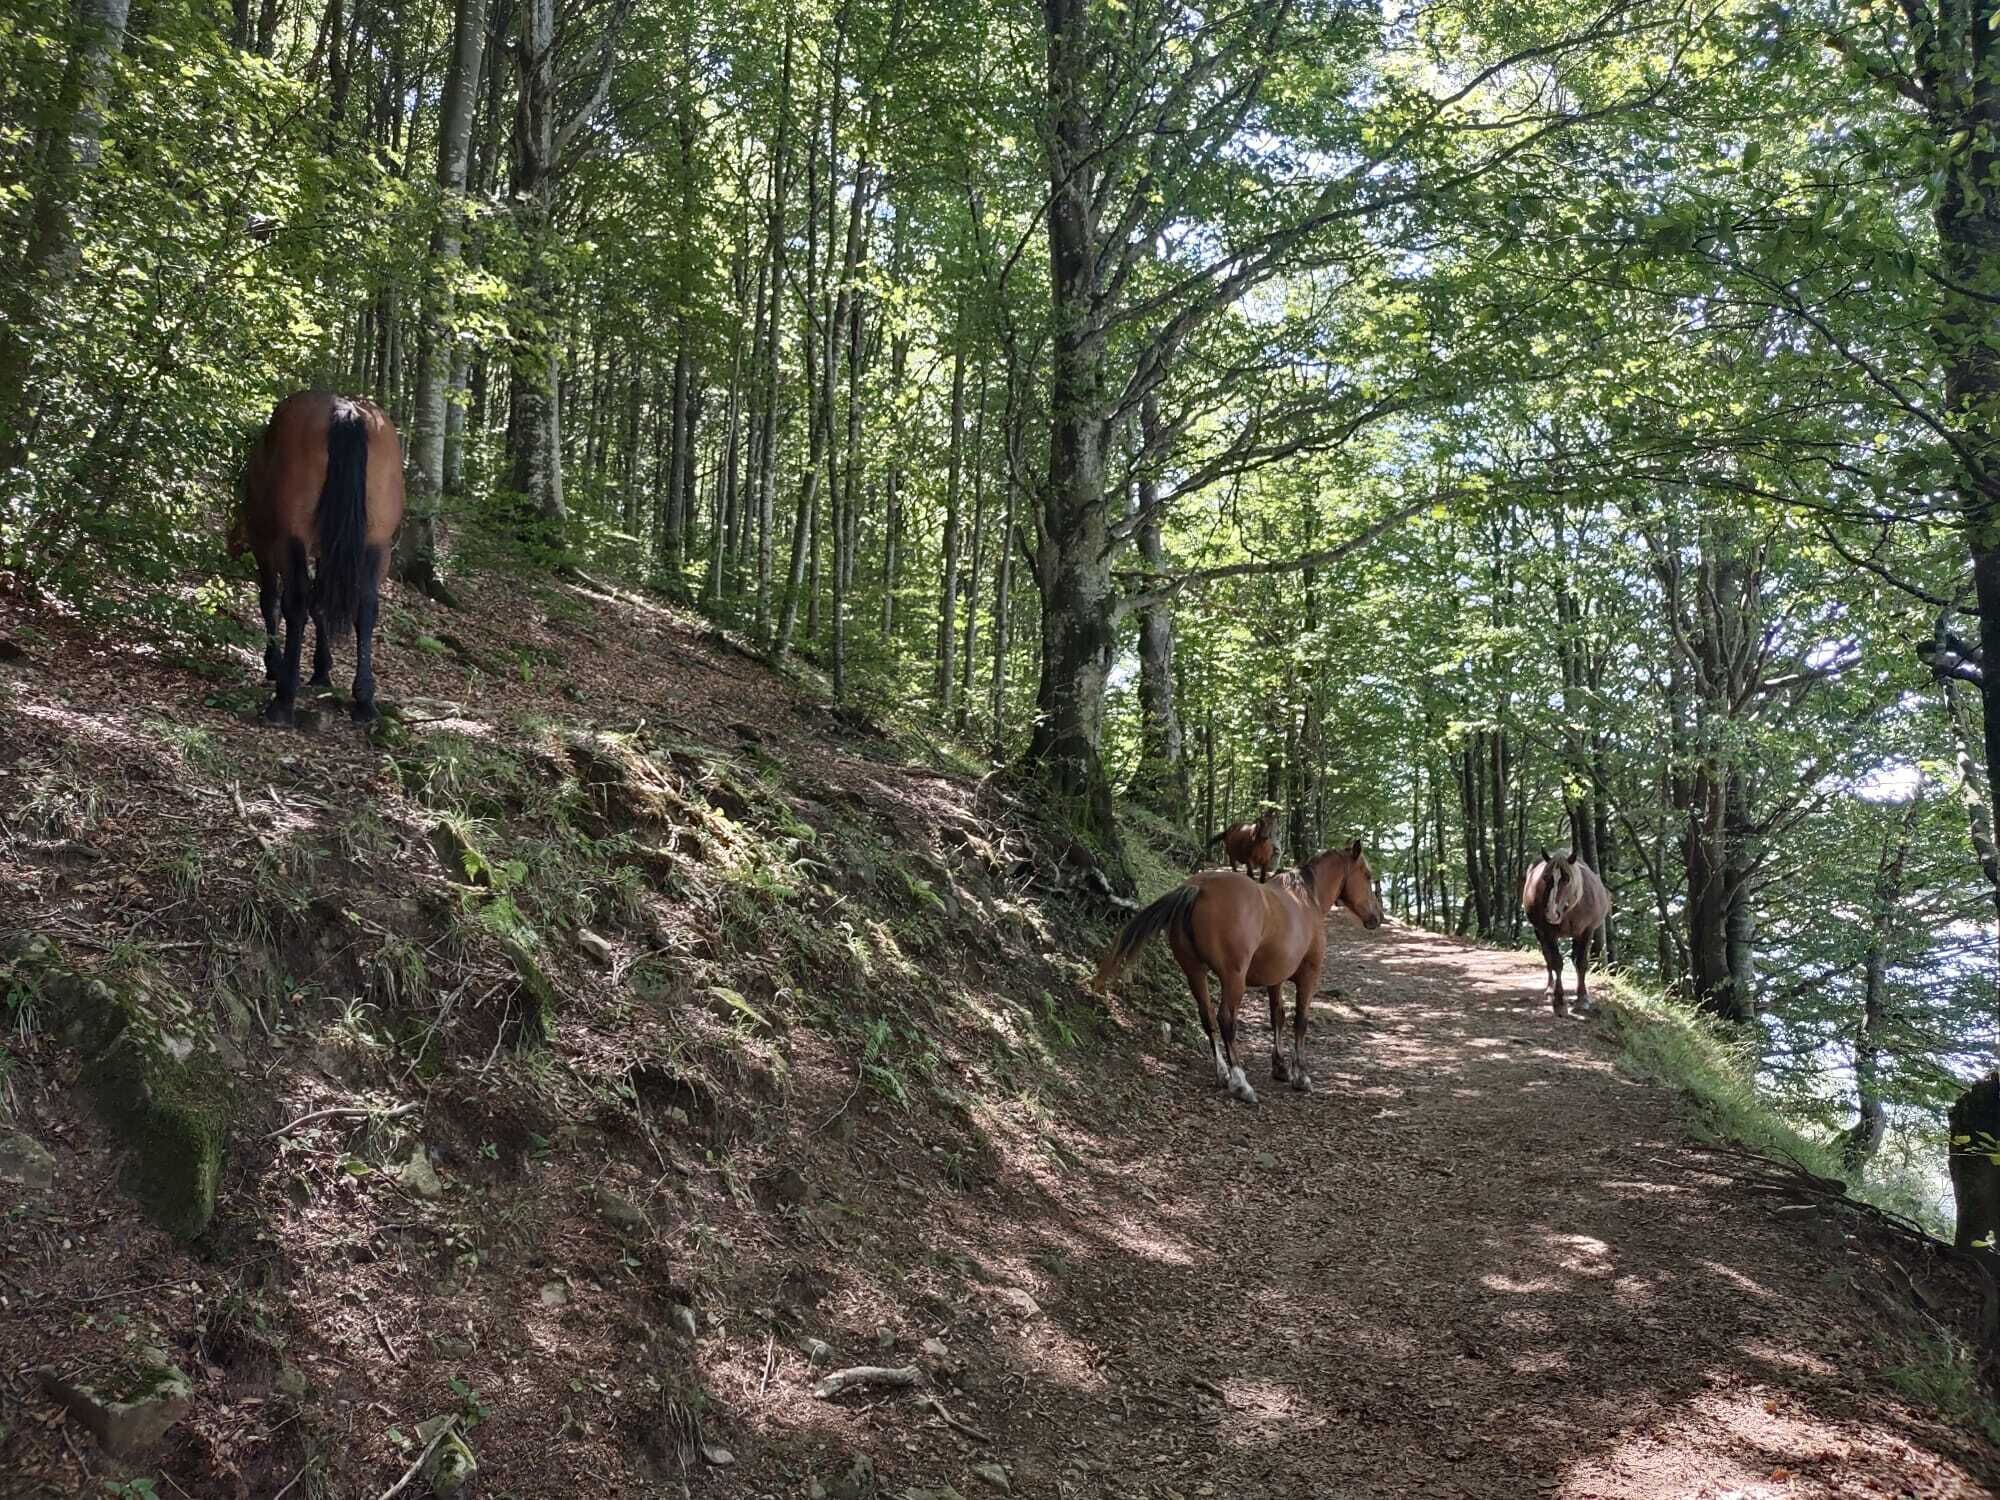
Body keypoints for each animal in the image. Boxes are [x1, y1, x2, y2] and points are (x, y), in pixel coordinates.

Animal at [230, 392, 405, 725]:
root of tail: (345, 411)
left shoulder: (266, 545)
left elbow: (271, 601)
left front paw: (275, 665)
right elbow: (321, 603)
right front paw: (322, 670)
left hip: (291, 539)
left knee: (295, 600)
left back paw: (284, 699)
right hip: (376, 544)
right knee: (366, 606)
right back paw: (364, 701)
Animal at [1094, 841, 1382, 1105]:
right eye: (1368, 875)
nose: (1377, 916)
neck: (1305, 899)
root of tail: (1199, 887)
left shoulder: (1275, 979)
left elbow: (1277, 1017)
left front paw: (1280, 1067)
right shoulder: (1308, 975)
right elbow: (1300, 1021)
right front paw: (1300, 1075)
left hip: (1194, 972)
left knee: (1207, 1017)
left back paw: (1222, 1073)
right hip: (1233, 979)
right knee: (1225, 1019)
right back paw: (1240, 1082)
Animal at [1522, 848, 1610, 1017]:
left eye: (1567, 879)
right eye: (1545, 878)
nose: (1551, 914)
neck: (1569, 910)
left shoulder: (1586, 932)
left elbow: (1581, 962)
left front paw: (1582, 998)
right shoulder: (1547, 932)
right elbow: (1556, 962)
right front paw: (1559, 1002)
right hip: (1539, 932)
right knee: (1548, 958)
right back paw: (1550, 989)